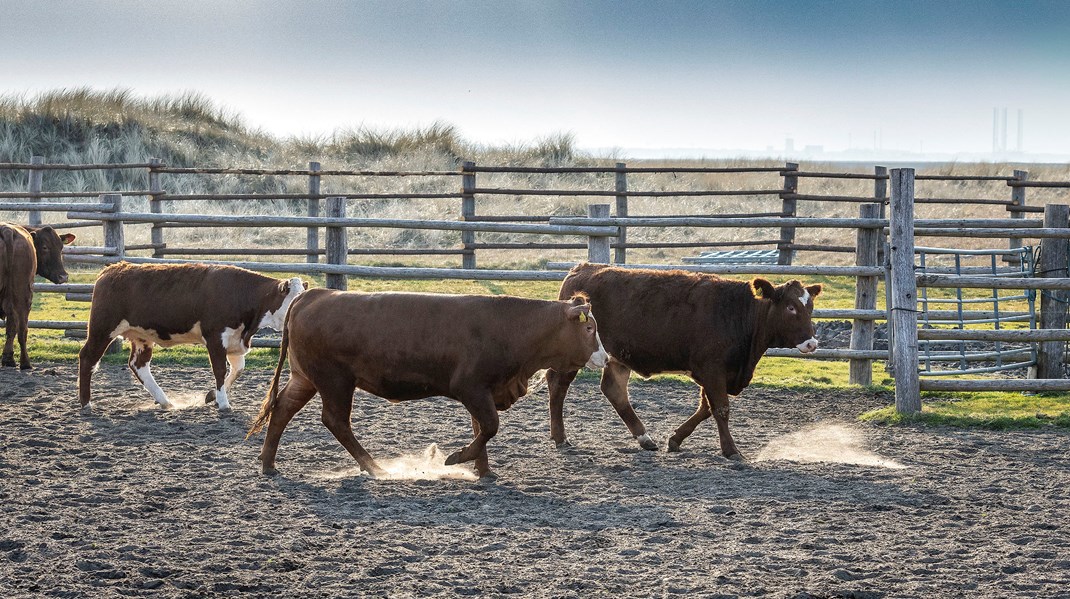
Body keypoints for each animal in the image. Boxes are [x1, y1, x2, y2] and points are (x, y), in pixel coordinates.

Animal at [0, 224, 75, 370]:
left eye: (61, 247)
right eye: (45, 247)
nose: (63, 276)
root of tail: (7, 230)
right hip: (23, 294)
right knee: (22, 328)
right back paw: (25, 363)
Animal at [78, 263, 306, 410]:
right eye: (294, 299)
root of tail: (112, 269)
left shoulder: (235, 340)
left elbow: (238, 369)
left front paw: (212, 396)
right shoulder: (215, 337)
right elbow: (220, 370)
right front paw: (223, 403)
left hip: (141, 336)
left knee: (138, 365)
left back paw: (165, 401)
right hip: (102, 329)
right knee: (88, 357)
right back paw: (86, 403)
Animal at [245, 288, 607, 479]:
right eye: (589, 328)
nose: (604, 358)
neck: (510, 327)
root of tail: (314, 295)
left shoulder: (482, 392)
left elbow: (481, 428)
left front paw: (483, 471)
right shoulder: (470, 388)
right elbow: (489, 426)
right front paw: (457, 458)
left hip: (306, 378)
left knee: (282, 409)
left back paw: (268, 464)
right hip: (335, 380)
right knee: (335, 421)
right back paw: (375, 467)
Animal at [547, 262, 821, 457]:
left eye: (810, 308)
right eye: (791, 307)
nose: (812, 343)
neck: (739, 313)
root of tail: (581, 269)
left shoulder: (715, 374)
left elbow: (706, 408)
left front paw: (675, 439)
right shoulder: (712, 369)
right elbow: (720, 409)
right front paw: (731, 450)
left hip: (618, 358)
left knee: (614, 390)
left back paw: (645, 439)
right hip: (575, 354)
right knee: (558, 386)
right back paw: (561, 438)